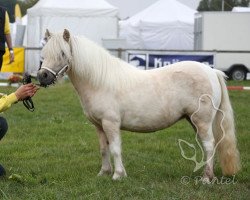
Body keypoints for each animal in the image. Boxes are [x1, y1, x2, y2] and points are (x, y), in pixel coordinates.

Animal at [37, 29, 240, 181]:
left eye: (62, 53)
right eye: (43, 54)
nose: (42, 77)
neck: (99, 82)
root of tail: (212, 72)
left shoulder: (111, 123)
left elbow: (115, 148)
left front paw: (118, 175)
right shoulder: (98, 126)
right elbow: (104, 149)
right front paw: (104, 173)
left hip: (202, 121)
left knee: (209, 145)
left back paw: (206, 178)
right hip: (194, 121)